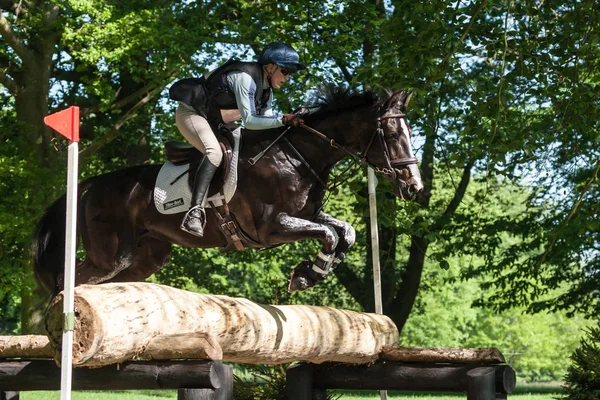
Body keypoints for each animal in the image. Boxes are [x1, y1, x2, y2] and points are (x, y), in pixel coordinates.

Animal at [34, 85, 422, 296]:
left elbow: (346, 232)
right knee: (71, 281)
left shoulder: (308, 214)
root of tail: (92, 184)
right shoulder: (271, 227)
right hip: (113, 254)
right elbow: (328, 234)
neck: (297, 155)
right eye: (391, 135)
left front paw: (311, 272)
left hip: (145, 258)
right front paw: (305, 276)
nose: (414, 186)